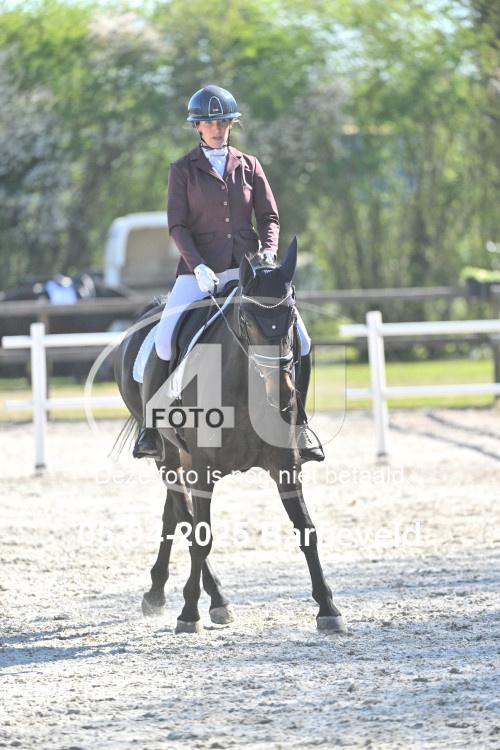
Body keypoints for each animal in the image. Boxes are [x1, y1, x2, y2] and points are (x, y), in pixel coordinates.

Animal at [114, 238, 346, 634]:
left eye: (291, 316)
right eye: (248, 319)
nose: (283, 395)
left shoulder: (286, 465)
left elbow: (306, 530)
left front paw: (328, 608)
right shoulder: (203, 469)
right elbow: (201, 536)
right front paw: (189, 613)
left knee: (173, 513)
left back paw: (159, 593)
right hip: (167, 455)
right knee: (184, 517)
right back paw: (210, 598)